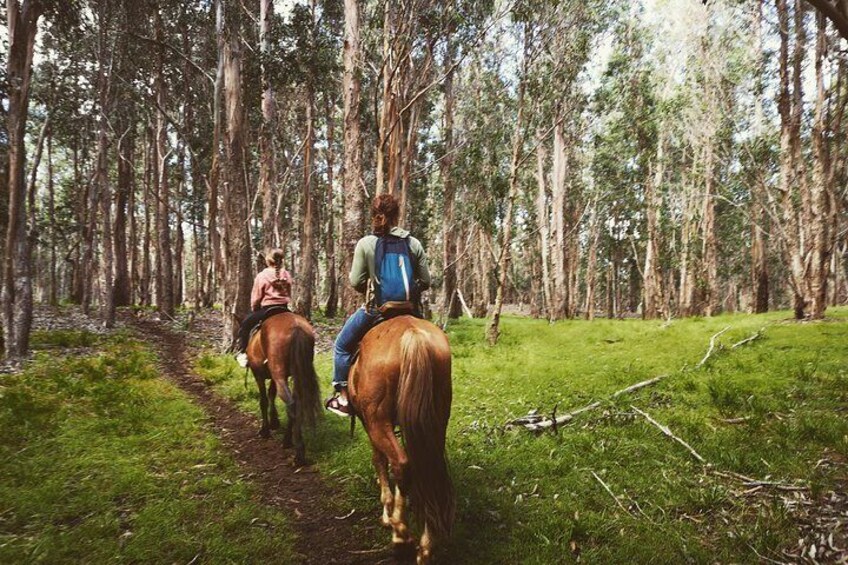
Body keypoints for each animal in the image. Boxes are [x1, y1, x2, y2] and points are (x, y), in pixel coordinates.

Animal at [248, 310, 324, 464]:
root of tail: (297, 327)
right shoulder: (272, 376)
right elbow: (271, 394)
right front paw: (274, 421)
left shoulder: (257, 373)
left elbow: (263, 400)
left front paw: (265, 430)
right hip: (294, 373)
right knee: (296, 403)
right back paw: (288, 441)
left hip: (279, 375)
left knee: (291, 405)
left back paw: (298, 451)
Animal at [348, 316, 454, 560]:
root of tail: (413, 336)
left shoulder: (368, 423)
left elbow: (379, 460)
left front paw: (387, 515)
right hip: (436, 420)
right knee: (428, 468)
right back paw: (426, 546)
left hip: (378, 420)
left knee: (401, 464)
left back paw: (400, 535)